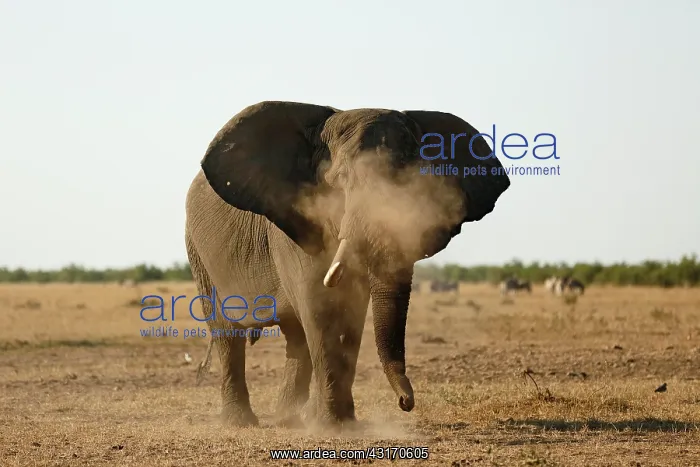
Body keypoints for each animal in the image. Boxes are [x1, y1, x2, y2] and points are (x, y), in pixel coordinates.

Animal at [185, 101, 510, 427]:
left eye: (416, 187)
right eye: (341, 181)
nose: (406, 402)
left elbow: (351, 312)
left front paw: (335, 422)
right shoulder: (294, 223)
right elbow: (320, 307)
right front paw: (332, 425)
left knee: (296, 337)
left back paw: (291, 419)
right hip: (197, 250)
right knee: (227, 332)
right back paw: (241, 422)